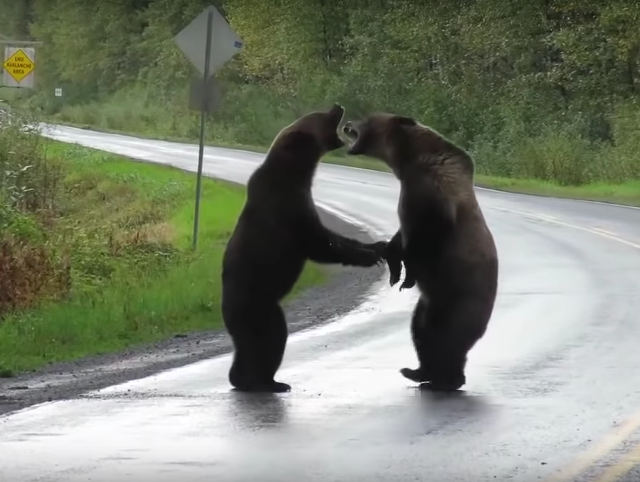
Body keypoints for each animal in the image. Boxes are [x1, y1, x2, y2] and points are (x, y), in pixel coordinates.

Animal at [222, 104, 387, 393]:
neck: (297, 171)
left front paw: (376, 246)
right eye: (320, 114)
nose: (337, 105)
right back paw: (265, 382)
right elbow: (321, 243)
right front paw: (368, 255)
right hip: (258, 305)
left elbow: (333, 238)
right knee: (270, 338)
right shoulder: (290, 209)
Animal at [343, 113, 498, 391]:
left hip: (457, 302)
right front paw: (391, 261)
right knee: (421, 329)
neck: (408, 161)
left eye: (367, 118)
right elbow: (401, 237)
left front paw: (407, 274)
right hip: (430, 304)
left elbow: (423, 238)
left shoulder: (433, 197)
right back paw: (419, 372)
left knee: (444, 338)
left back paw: (442, 379)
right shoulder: (412, 197)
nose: (349, 122)